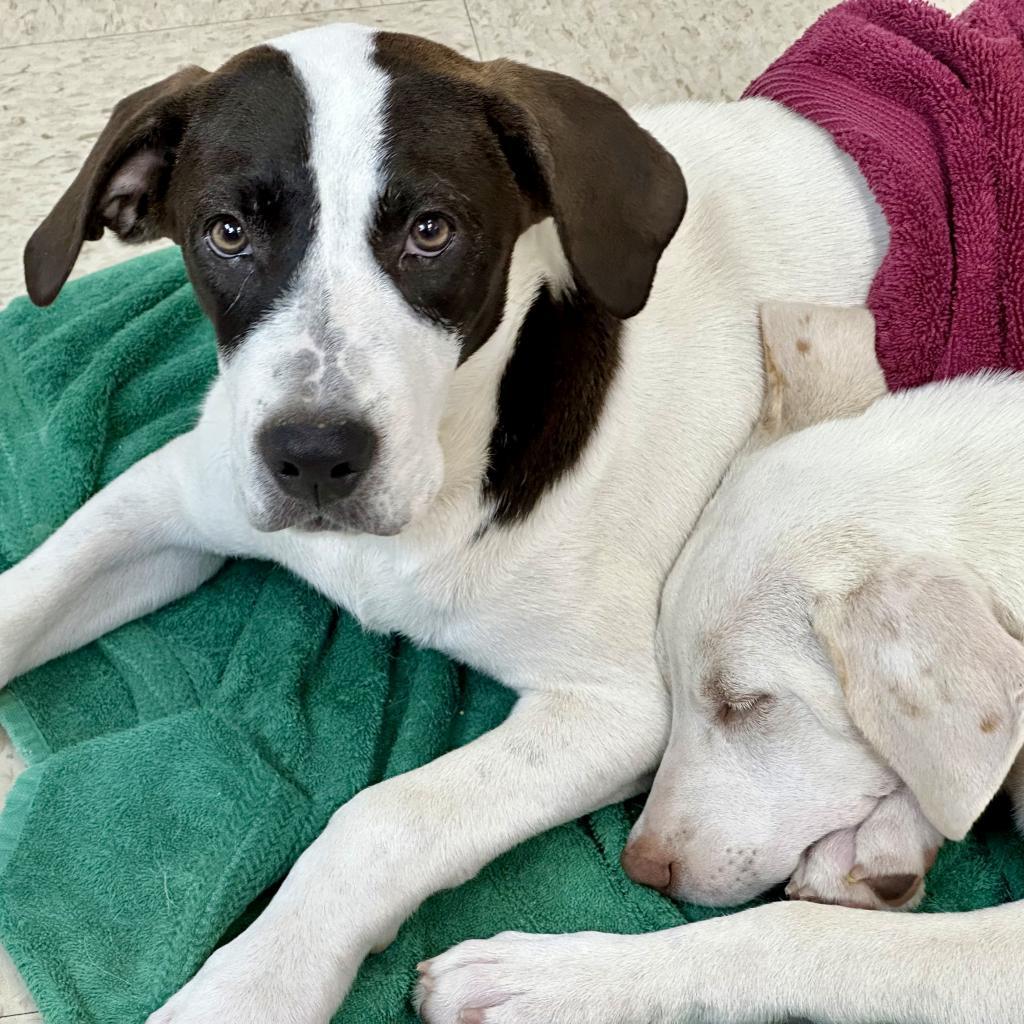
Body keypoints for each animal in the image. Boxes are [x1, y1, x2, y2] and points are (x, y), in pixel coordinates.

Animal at [4, 22, 888, 1024]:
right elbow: (26, 594)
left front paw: (253, 984)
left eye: (431, 231)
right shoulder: (173, 494)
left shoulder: (617, 706)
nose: (314, 456)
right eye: (227, 232)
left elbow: (385, 817)